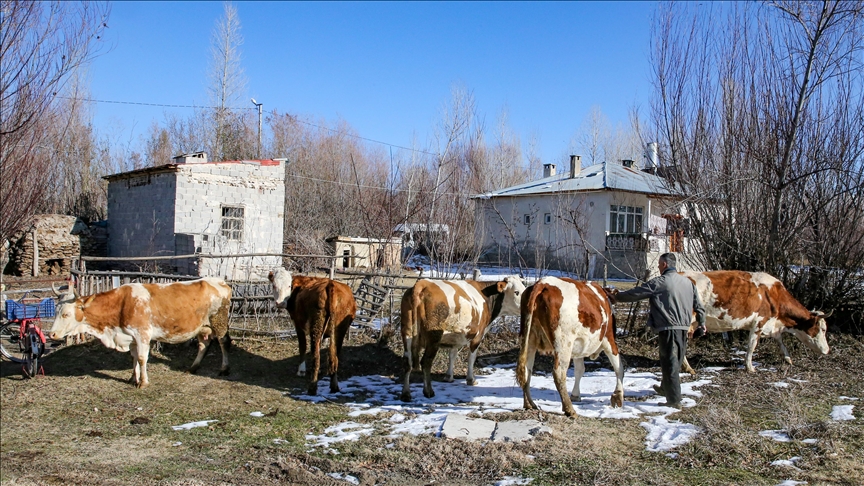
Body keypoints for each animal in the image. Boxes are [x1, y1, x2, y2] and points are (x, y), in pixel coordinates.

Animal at [49, 278, 233, 388]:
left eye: (66, 314)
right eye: (56, 311)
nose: (52, 335)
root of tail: (219, 281)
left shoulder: (142, 334)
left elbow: (143, 358)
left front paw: (143, 382)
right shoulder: (130, 337)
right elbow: (134, 357)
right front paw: (133, 377)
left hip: (219, 321)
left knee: (224, 342)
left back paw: (224, 368)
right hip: (203, 326)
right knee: (203, 344)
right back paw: (193, 367)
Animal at [266, 268, 354, 396]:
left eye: (289, 286)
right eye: (274, 285)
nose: (280, 303)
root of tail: (330, 285)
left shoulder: (298, 324)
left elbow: (302, 346)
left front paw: (301, 370)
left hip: (316, 327)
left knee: (315, 356)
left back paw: (312, 388)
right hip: (339, 330)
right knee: (334, 357)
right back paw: (334, 386)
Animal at [400, 278, 528, 402]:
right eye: (516, 292)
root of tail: (422, 284)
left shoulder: (454, 338)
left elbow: (452, 355)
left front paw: (449, 377)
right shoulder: (478, 335)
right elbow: (471, 358)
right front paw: (471, 380)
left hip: (407, 333)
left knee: (407, 362)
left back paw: (406, 394)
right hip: (433, 338)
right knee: (426, 362)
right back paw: (428, 392)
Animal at [516, 278, 624, 418]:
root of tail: (542, 283)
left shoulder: (579, 345)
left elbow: (580, 370)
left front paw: (576, 395)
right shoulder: (609, 339)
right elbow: (619, 368)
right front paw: (618, 396)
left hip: (529, 339)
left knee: (526, 370)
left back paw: (529, 404)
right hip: (563, 343)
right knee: (559, 373)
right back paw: (569, 409)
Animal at [680, 270, 832, 372]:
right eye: (823, 329)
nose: (827, 350)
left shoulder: (773, 326)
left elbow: (781, 342)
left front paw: (788, 359)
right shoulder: (759, 323)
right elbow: (751, 346)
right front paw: (750, 367)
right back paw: (688, 368)